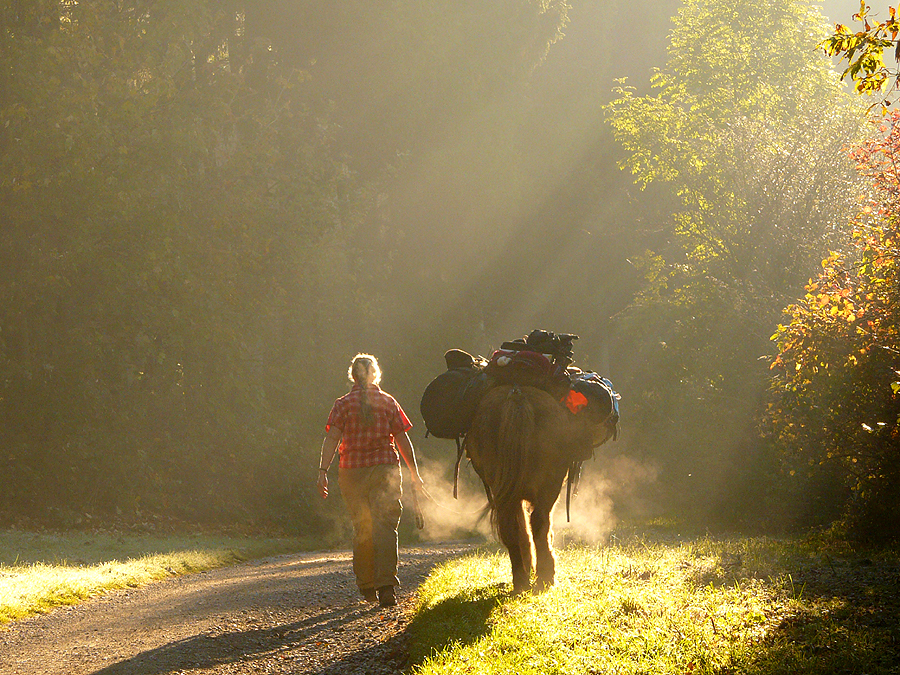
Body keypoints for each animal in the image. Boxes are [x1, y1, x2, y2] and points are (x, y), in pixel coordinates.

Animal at [464, 388, 604, 596]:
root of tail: (517, 396)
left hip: (504, 490)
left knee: (510, 528)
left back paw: (521, 579)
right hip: (549, 485)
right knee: (540, 523)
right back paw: (546, 576)